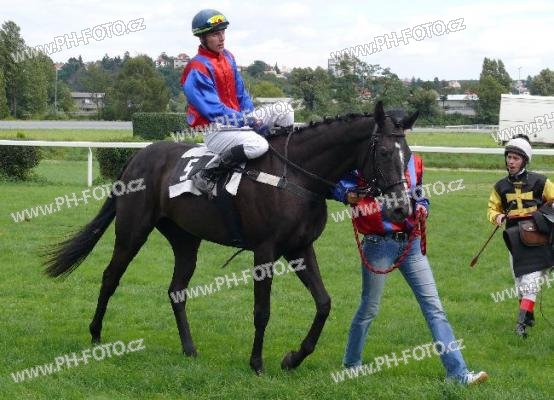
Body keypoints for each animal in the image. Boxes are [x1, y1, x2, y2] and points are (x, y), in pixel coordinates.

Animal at [44, 101, 418, 374]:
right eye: (385, 153)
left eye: (409, 155)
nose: (402, 208)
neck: (295, 175)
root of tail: (138, 155)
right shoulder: (265, 251)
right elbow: (262, 310)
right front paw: (257, 363)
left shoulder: (299, 248)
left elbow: (324, 303)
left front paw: (293, 358)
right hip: (132, 232)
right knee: (111, 276)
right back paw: (95, 334)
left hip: (185, 240)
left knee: (176, 290)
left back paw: (189, 348)